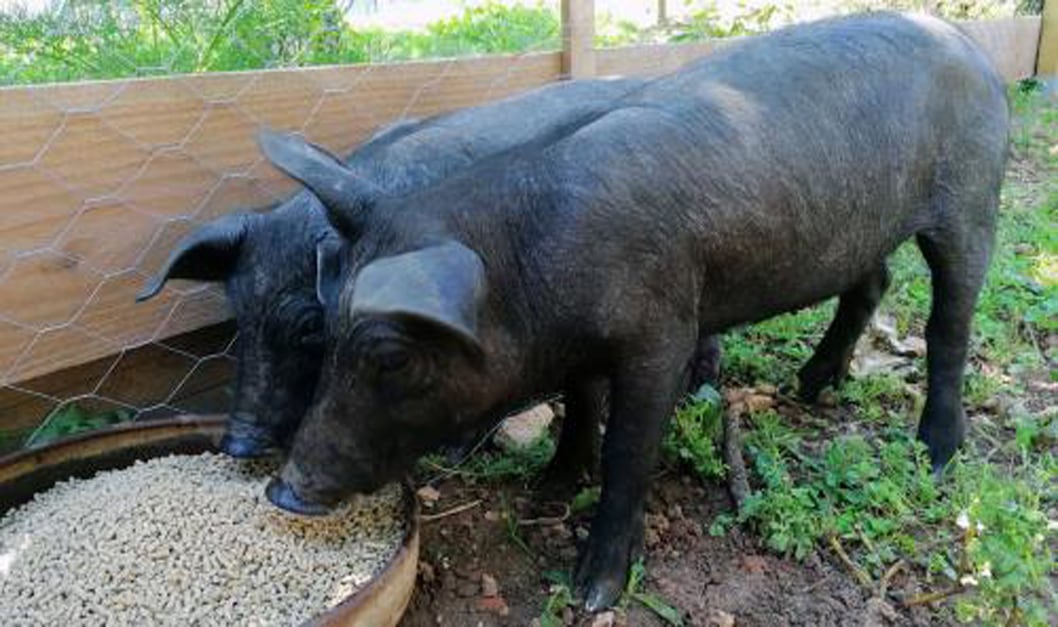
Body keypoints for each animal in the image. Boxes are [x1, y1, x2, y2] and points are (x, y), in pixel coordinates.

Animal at [260, 13, 1002, 613]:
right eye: (327, 330)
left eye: (392, 355)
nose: (283, 490)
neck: (531, 268)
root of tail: (966, 41)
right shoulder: (582, 342)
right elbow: (580, 402)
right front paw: (550, 486)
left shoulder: (662, 332)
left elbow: (628, 448)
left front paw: (591, 592)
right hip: (856, 230)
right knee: (872, 282)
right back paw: (809, 387)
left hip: (971, 199)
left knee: (949, 320)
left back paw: (935, 453)